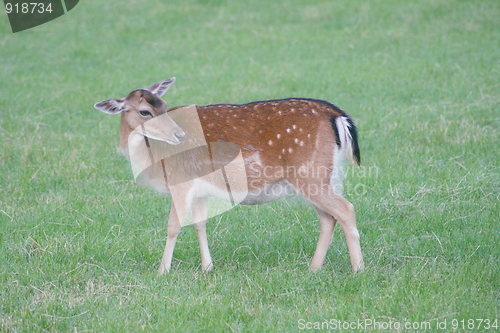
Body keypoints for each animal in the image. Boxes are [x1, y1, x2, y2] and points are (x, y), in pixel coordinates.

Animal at [95, 77, 366, 272]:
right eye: (144, 111)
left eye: (163, 106)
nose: (179, 135)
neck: (153, 157)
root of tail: (337, 116)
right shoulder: (200, 188)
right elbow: (200, 223)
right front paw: (207, 268)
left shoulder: (180, 180)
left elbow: (173, 225)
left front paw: (162, 270)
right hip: (322, 177)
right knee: (328, 218)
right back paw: (313, 268)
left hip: (309, 173)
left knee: (346, 209)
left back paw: (358, 269)